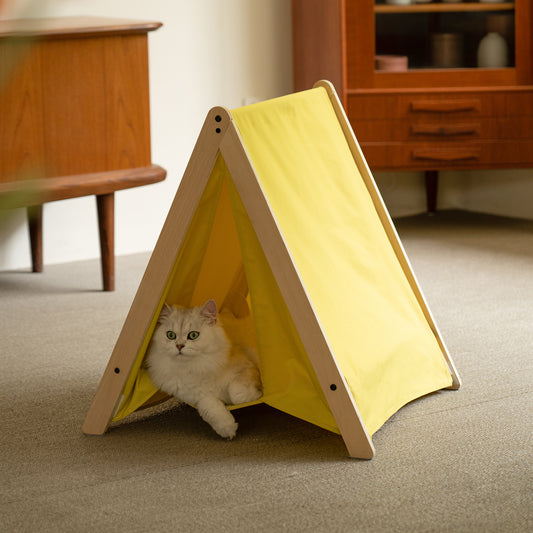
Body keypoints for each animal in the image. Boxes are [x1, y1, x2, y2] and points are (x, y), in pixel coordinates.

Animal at [144, 298, 262, 438]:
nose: (179, 346)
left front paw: (256, 396)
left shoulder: (247, 368)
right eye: (171, 335)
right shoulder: (197, 397)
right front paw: (227, 429)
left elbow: (236, 393)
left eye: (193, 335)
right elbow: (210, 409)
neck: (197, 367)